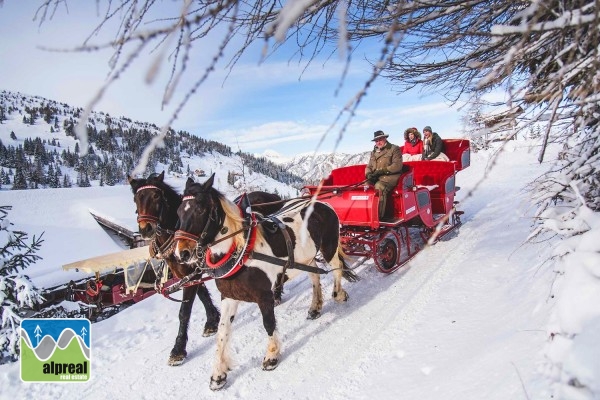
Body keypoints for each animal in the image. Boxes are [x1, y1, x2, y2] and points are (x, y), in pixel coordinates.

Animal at [127, 171, 282, 366]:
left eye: (156, 196)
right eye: (135, 198)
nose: (145, 229)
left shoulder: (193, 274)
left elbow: (184, 311)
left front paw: (178, 349)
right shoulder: (187, 274)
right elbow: (202, 295)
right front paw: (212, 320)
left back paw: (277, 294)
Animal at [172, 173, 356, 390]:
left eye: (200, 209)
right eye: (178, 211)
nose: (182, 253)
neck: (241, 251)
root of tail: (321, 203)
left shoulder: (264, 296)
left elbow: (268, 324)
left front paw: (271, 356)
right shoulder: (228, 297)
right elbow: (222, 332)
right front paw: (218, 374)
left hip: (329, 247)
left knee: (337, 268)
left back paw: (339, 294)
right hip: (307, 258)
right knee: (315, 277)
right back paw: (315, 307)